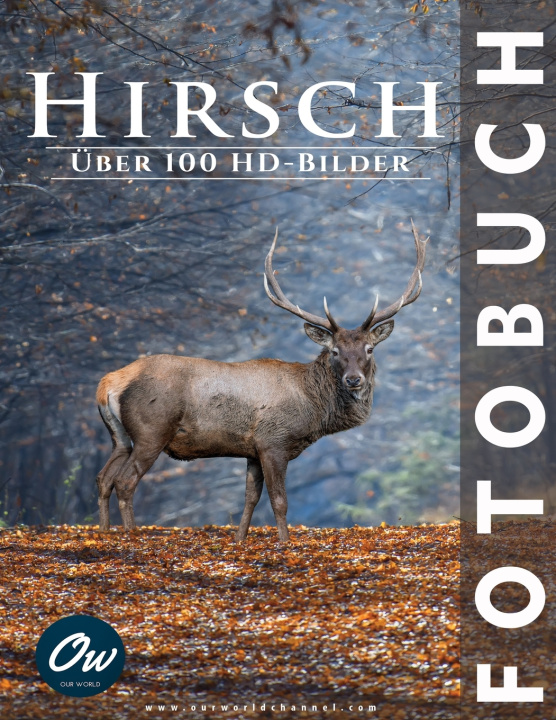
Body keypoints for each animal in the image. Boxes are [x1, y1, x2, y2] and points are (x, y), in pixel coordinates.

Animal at [95, 222, 427, 541]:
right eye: (335, 351)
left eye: (369, 349)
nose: (354, 379)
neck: (313, 407)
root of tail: (108, 384)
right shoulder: (273, 441)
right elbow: (279, 501)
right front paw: (284, 543)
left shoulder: (251, 450)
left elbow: (250, 498)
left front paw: (239, 540)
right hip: (151, 430)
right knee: (125, 481)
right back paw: (131, 535)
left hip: (120, 437)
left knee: (103, 478)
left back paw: (104, 533)